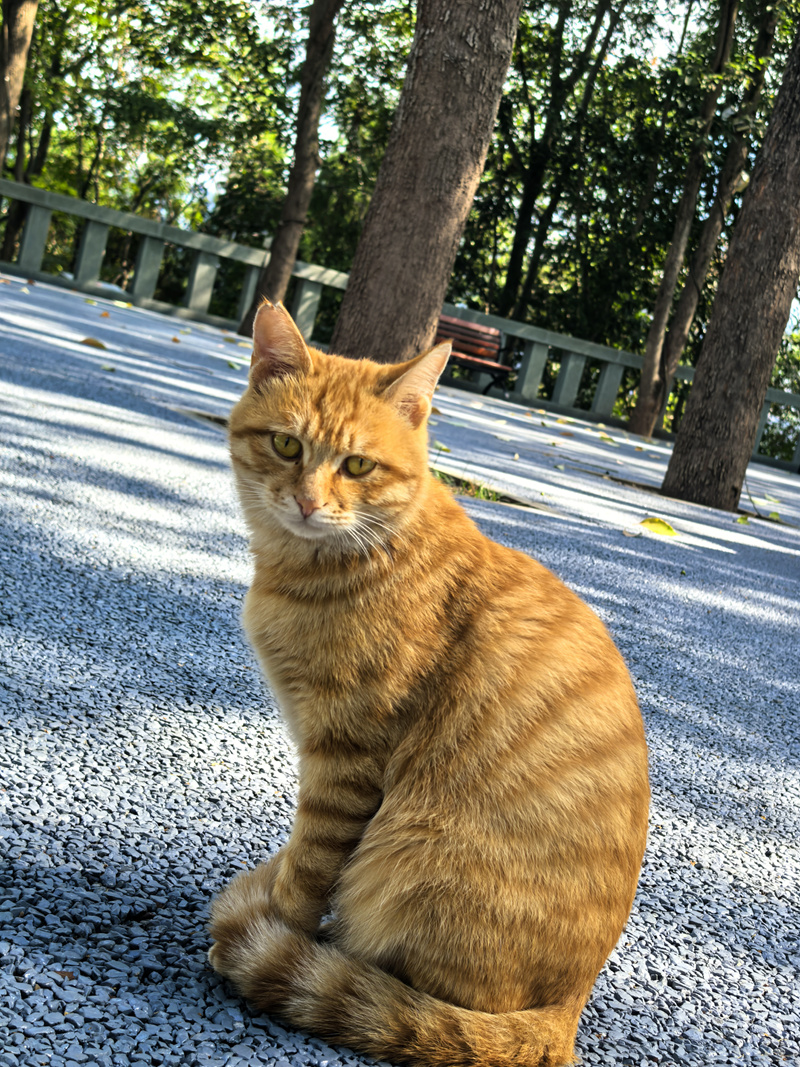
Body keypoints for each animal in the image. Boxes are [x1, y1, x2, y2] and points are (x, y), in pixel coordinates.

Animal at [208, 300, 652, 1067]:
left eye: (357, 465)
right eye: (287, 446)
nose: (306, 503)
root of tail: (567, 1008)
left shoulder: (346, 758)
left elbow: (309, 867)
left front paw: (276, 923)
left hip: (410, 851)